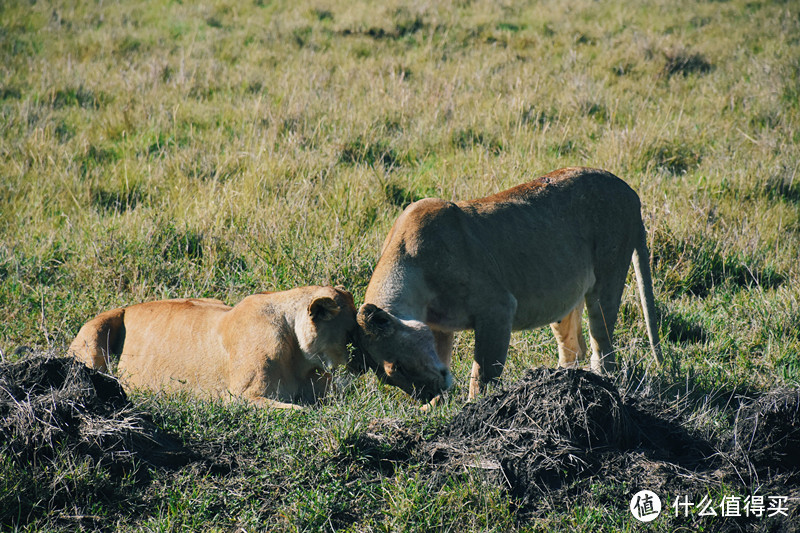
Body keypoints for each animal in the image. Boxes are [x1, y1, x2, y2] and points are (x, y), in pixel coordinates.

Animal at [356, 166, 664, 400]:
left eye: (397, 367)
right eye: (390, 380)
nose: (431, 394)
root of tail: (628, 189)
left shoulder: (498, 308)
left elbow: (483, 372)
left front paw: (474, 408)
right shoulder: (439, 328)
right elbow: (446, 357)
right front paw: (431, 410)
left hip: (607, 276)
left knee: (602, 344)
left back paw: (600, 381)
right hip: (563, 295)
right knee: (573, 347)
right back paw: (560, 381)